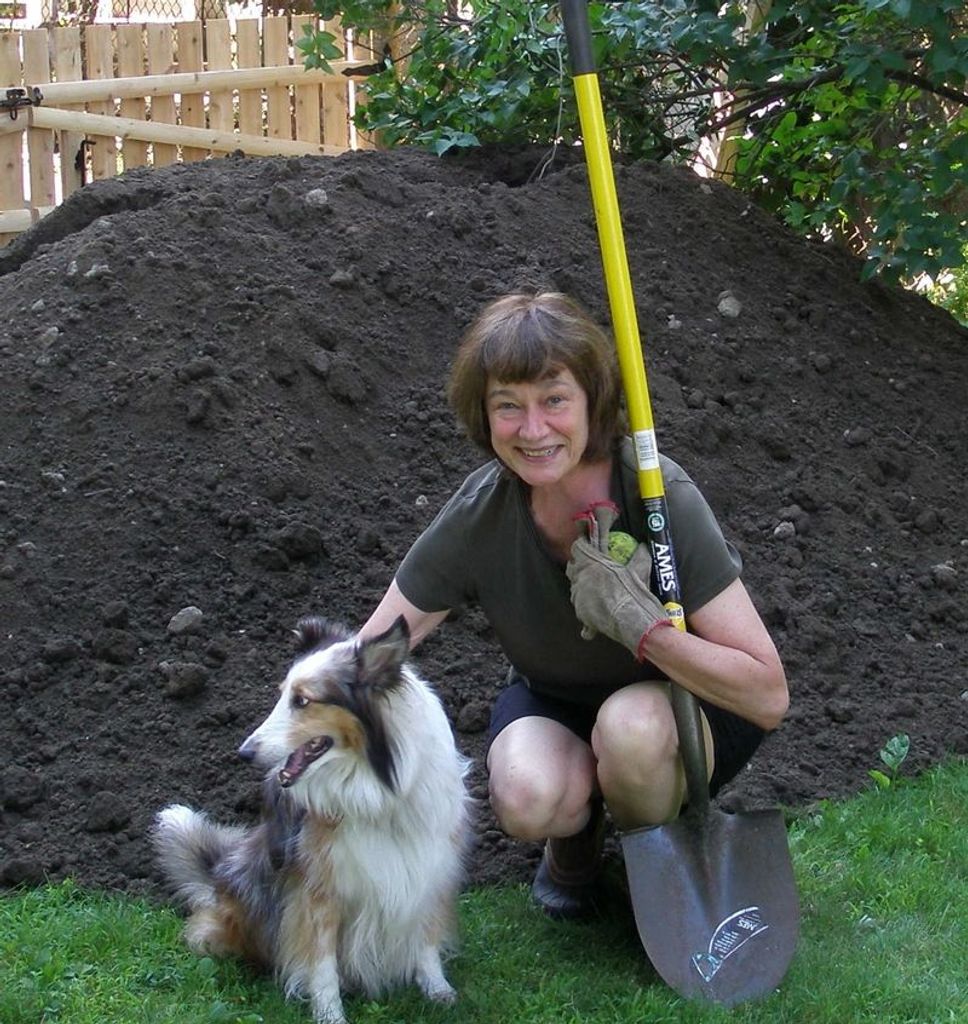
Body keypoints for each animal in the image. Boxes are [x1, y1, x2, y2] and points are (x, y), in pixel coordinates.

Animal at [152, 615, 472, 1024]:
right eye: (281, 695)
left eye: (302, 700)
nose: (244, 753)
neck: (375, 787)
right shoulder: (317, 890)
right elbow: (321, 963)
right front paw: (330, 1015)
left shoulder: (428, 868)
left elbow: (427, 938)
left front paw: (437, 990)